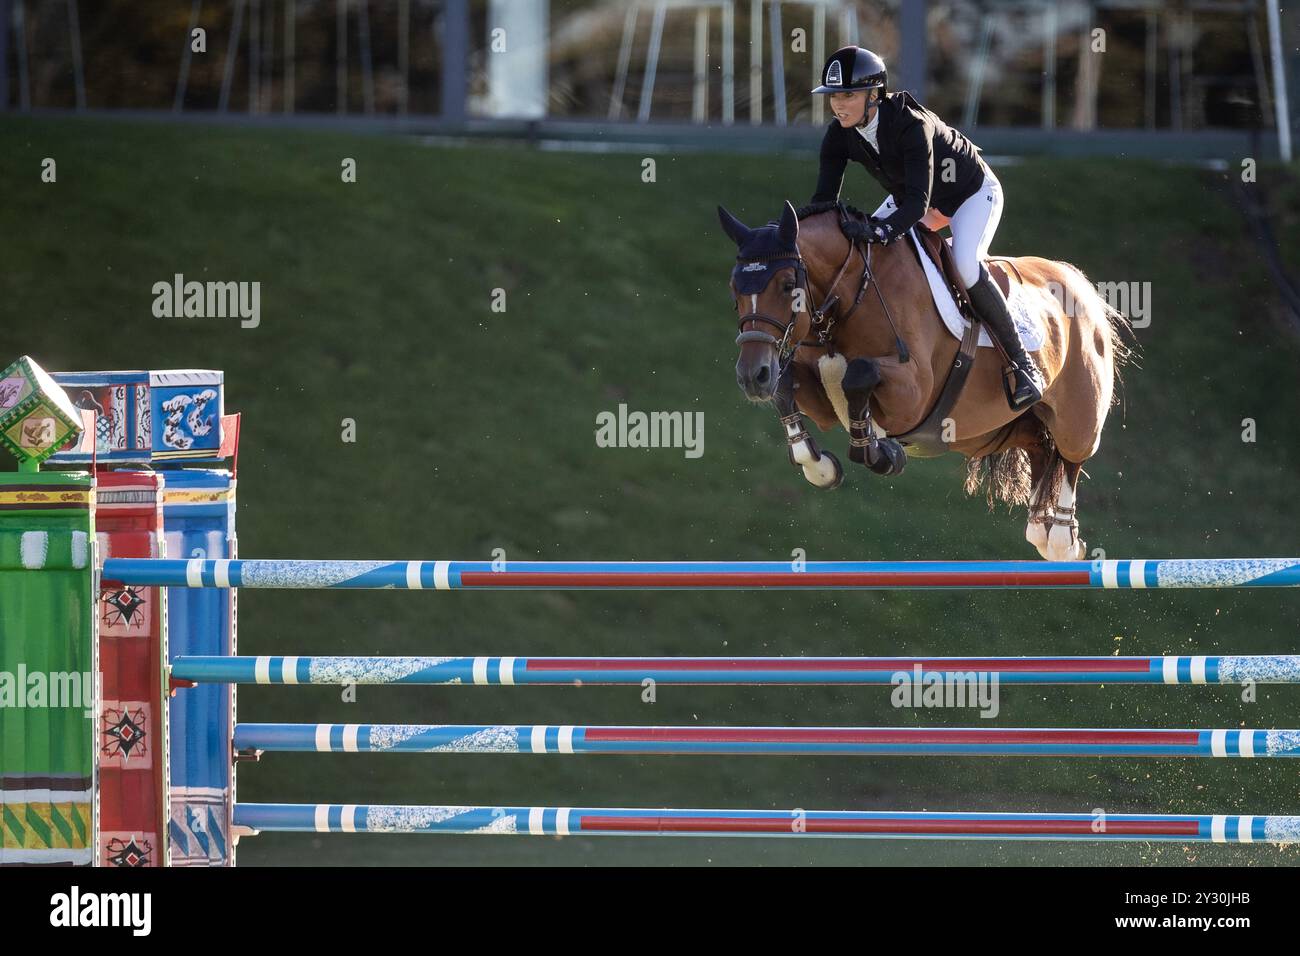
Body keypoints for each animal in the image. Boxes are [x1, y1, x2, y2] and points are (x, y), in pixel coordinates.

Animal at [717, 201, 1133, 561]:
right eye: (734, 288)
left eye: (788, 284)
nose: (752, 376)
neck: (852, 294)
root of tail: (1079, 283)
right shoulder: (818, 397)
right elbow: (789, 387)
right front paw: (820, 467)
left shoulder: (912, 393)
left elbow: (860, 375)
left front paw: (880, 452)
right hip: (988, 431)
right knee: (1041, 448)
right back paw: (1039, 527)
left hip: (1077, 415)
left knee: (1072, 454)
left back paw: (1061, 538)